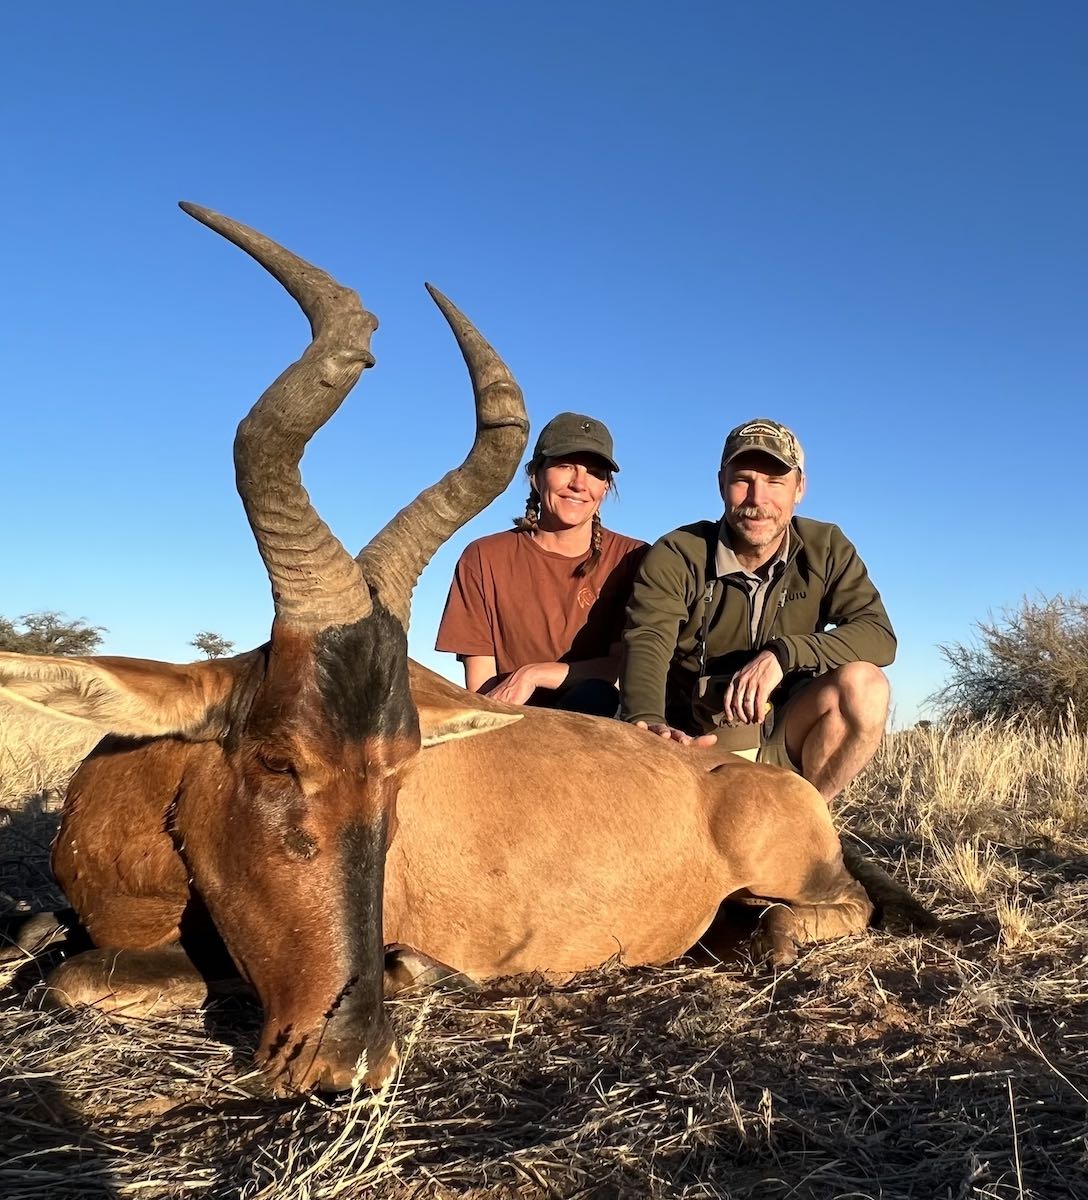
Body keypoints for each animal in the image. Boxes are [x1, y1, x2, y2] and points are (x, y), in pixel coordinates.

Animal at [0, 203, 880, 1096]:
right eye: (277, 758)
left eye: (400, 771)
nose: (347, 1057)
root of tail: (760, 779)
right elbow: (37, 939)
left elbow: (74, 978)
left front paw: (413, 971)